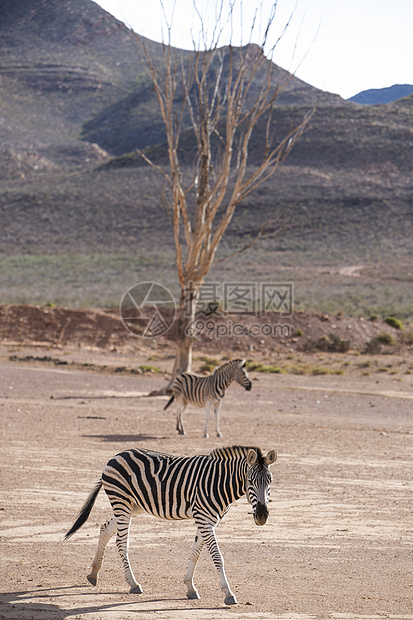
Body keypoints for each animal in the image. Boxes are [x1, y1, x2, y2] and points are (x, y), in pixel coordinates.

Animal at [65, 446, 276, 604]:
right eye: (250, 480)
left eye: (270, 481)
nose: (262, 516)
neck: (219, 482)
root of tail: (116, 455)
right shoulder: (204, 519)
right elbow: (217, 557)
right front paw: (228, 594)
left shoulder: (206, 519)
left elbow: (196, 553)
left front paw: (190, 587)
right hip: (122, 502)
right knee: (121, 542)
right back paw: (133, 583)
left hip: (132, 506)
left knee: (105, 528)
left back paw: (93, 573)